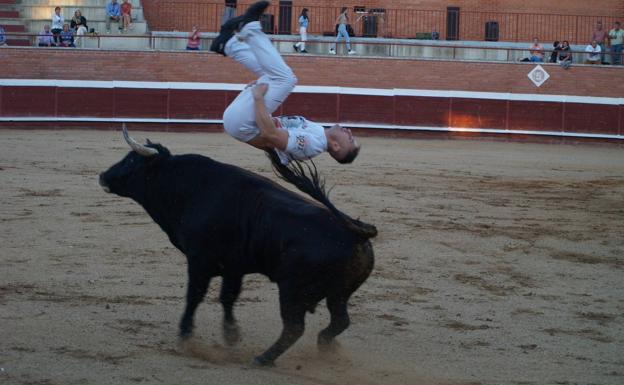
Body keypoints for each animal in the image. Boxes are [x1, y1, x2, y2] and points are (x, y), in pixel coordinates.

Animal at [98, 124, 376, 364]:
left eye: (131, 160)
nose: (103, 176)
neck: (188, 187)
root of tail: (358, 232)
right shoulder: (234, 266)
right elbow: (227, 297)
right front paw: (231, 335)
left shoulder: (200, 260)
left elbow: (194, 296)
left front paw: (186, 336)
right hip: (338, 294)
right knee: (340, 321)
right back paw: (324, 346)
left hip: (292, 290)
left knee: (294, 328)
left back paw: (263, 359)